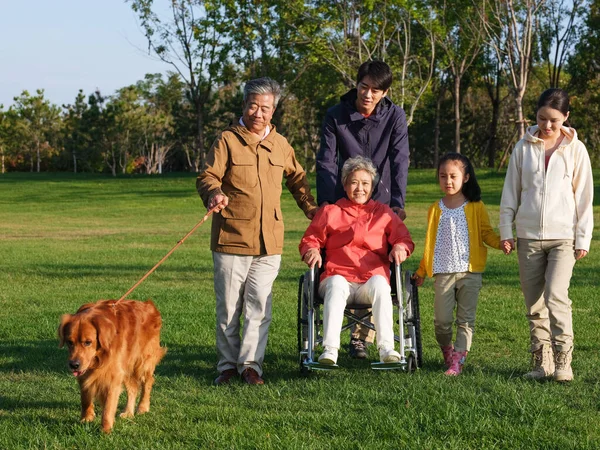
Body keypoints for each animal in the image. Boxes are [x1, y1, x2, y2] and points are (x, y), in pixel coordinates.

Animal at [58, 300, 166, 434]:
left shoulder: (113, 375)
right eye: (69, 342)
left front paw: (105, 429)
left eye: (88, 342)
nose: (74, 365)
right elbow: (85, 398)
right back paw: (128, 412)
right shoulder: (85, 374)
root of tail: (149, 304)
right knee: (133, 388)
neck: (99, 357)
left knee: (148, 381)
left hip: (142, 361)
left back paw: (143, 407)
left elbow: (108, 406)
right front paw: (86, 418)